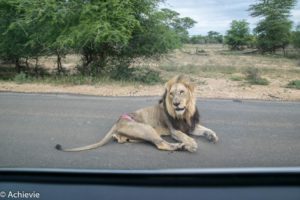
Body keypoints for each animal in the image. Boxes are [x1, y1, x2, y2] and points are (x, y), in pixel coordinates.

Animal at [55, 74, 218, 152]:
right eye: (171, 94)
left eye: (182, 92)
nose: (176, 103)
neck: (183, 113)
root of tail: (118, 121)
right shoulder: (174, 130)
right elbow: (185, 136)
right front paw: (191, 142)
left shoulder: (190, 125)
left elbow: (207, 129)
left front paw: (213, 137)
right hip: (147, 128)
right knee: (161, 144)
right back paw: (184, 147)